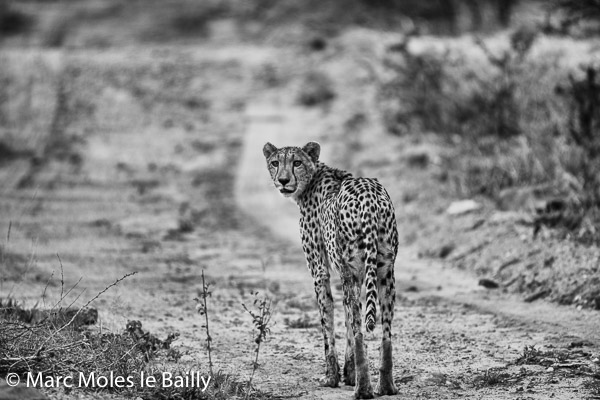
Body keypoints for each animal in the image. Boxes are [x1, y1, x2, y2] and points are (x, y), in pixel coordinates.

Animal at [262, 142, 398, 398]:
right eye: (275, 162)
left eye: (297, 162)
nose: (283, 180)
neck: (313, 178)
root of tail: (370, 195)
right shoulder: (354, 274)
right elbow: (345, 322)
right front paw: (349, 374)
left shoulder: (320, 271)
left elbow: (328, 322)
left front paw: (331, 377)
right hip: (385, 271)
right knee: (384, 332)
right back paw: (385, 386)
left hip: (352, 270)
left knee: (359, 331)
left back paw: (363, 390)